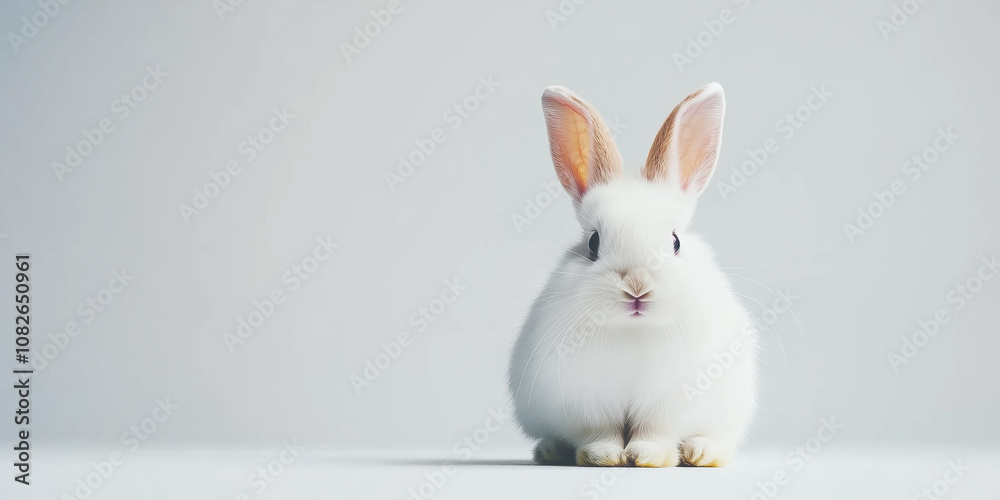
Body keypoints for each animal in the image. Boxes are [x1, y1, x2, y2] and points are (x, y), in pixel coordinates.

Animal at [507, 83, 758, 467]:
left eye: (675, 242)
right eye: (594, 243)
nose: (637, 288)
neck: (633, 330)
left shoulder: (667, 404)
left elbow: (655, 432)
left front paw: (647, 456)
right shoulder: (589, 404)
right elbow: (600, 433)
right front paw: (604, 455)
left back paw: (702, 453)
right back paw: (550, 451)